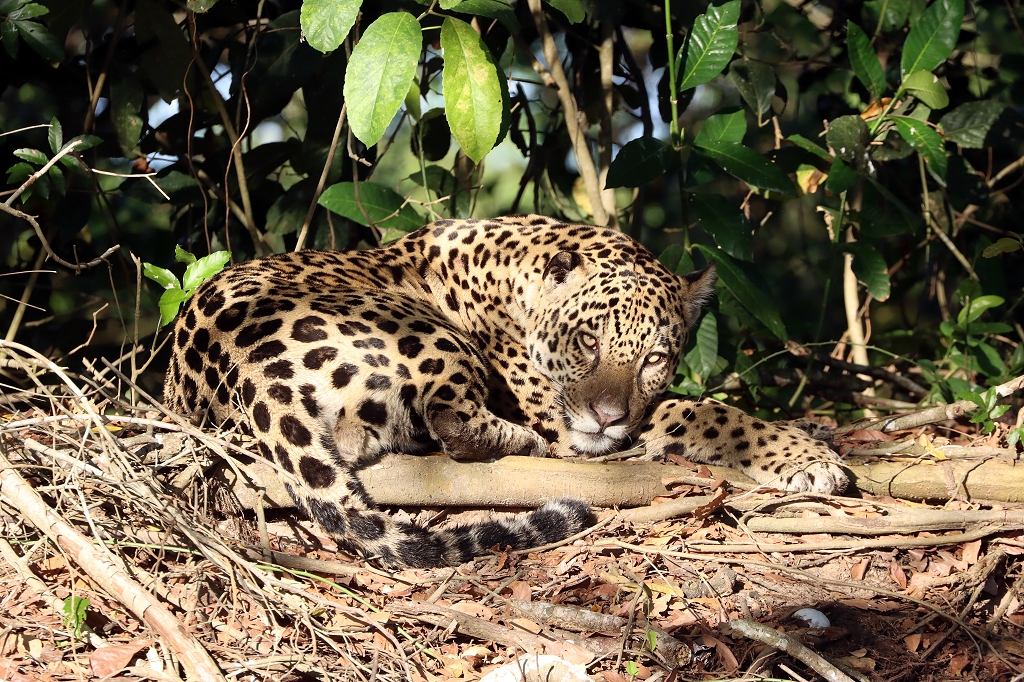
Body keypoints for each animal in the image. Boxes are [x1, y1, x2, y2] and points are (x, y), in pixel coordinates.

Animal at [164, 215, 847, 568]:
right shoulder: (565, 417)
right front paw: (811, 459)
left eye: (655, 357)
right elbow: (705, 412)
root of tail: (248, 368)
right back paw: (521, 443)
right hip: (427, 332)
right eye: (589, 340)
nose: (606, 416)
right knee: (452, 422)